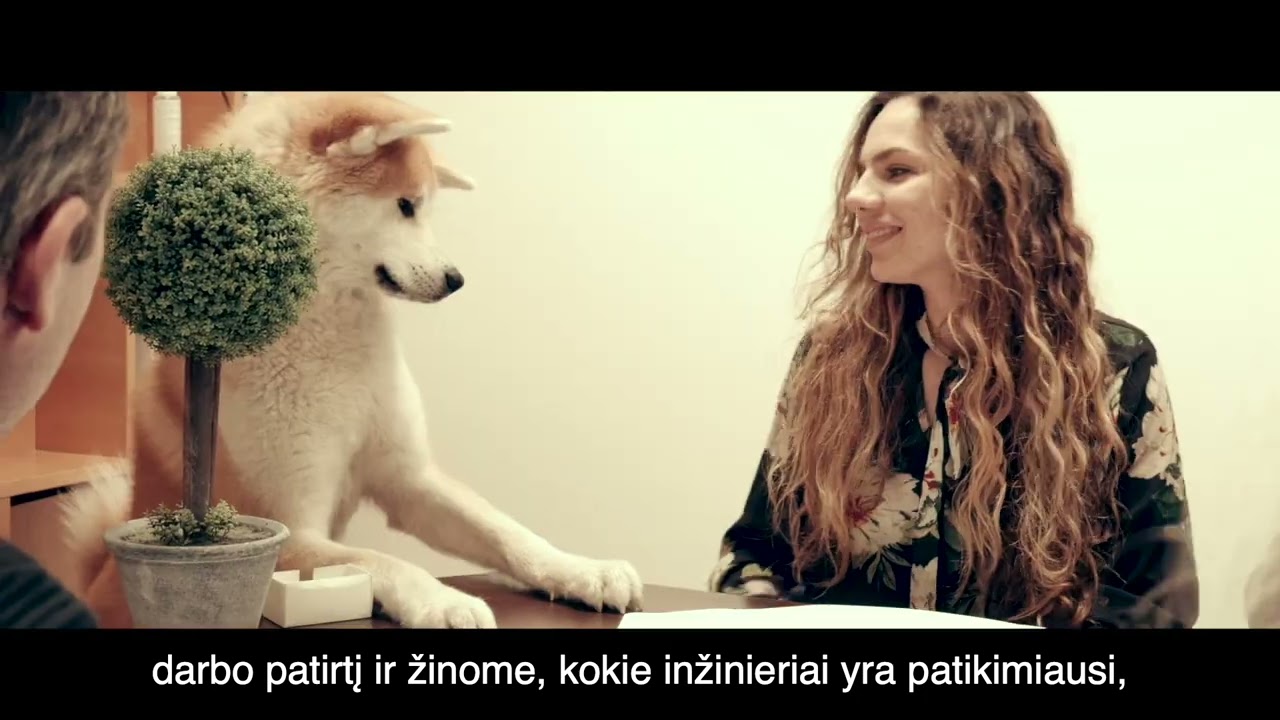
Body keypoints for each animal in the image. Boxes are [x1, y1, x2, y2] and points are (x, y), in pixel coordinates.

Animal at [60, 91, 644, 628]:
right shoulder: (284, 526)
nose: (457, 279)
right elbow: (379, 559)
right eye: (406, 205)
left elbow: (508, 532)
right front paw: (444, 600)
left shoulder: (409, 477)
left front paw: (581, 569)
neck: (330, 339)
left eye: (426, 207)